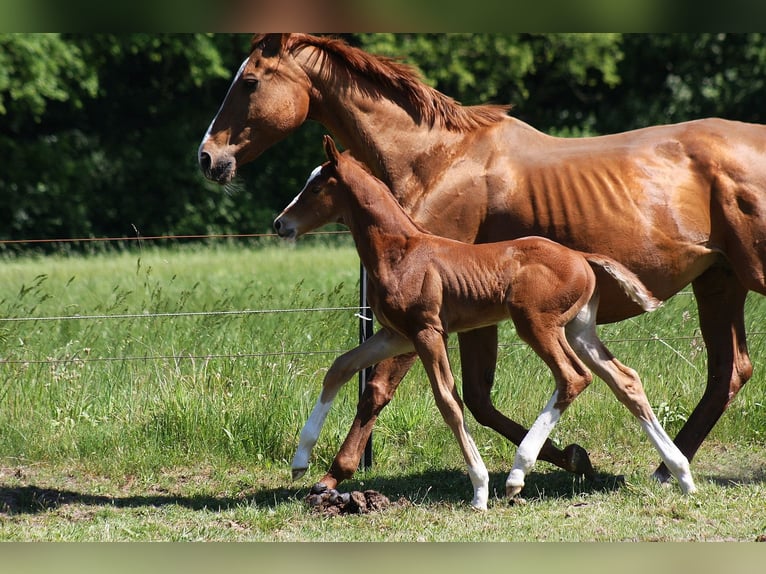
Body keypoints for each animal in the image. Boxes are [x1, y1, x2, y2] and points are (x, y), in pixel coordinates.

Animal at [272, 135, 697, 508]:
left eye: (315, 188)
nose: (279, 223)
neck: (401, 252)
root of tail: (582, 257)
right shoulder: (395, 335)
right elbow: (340, 367)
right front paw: (300, 462)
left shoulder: (427, 331)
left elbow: (448, 401)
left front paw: (479, 488)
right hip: (579, 329)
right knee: (625, 380)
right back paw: (683, 474)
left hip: (536, 323)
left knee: (573, 377)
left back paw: (517, 474)